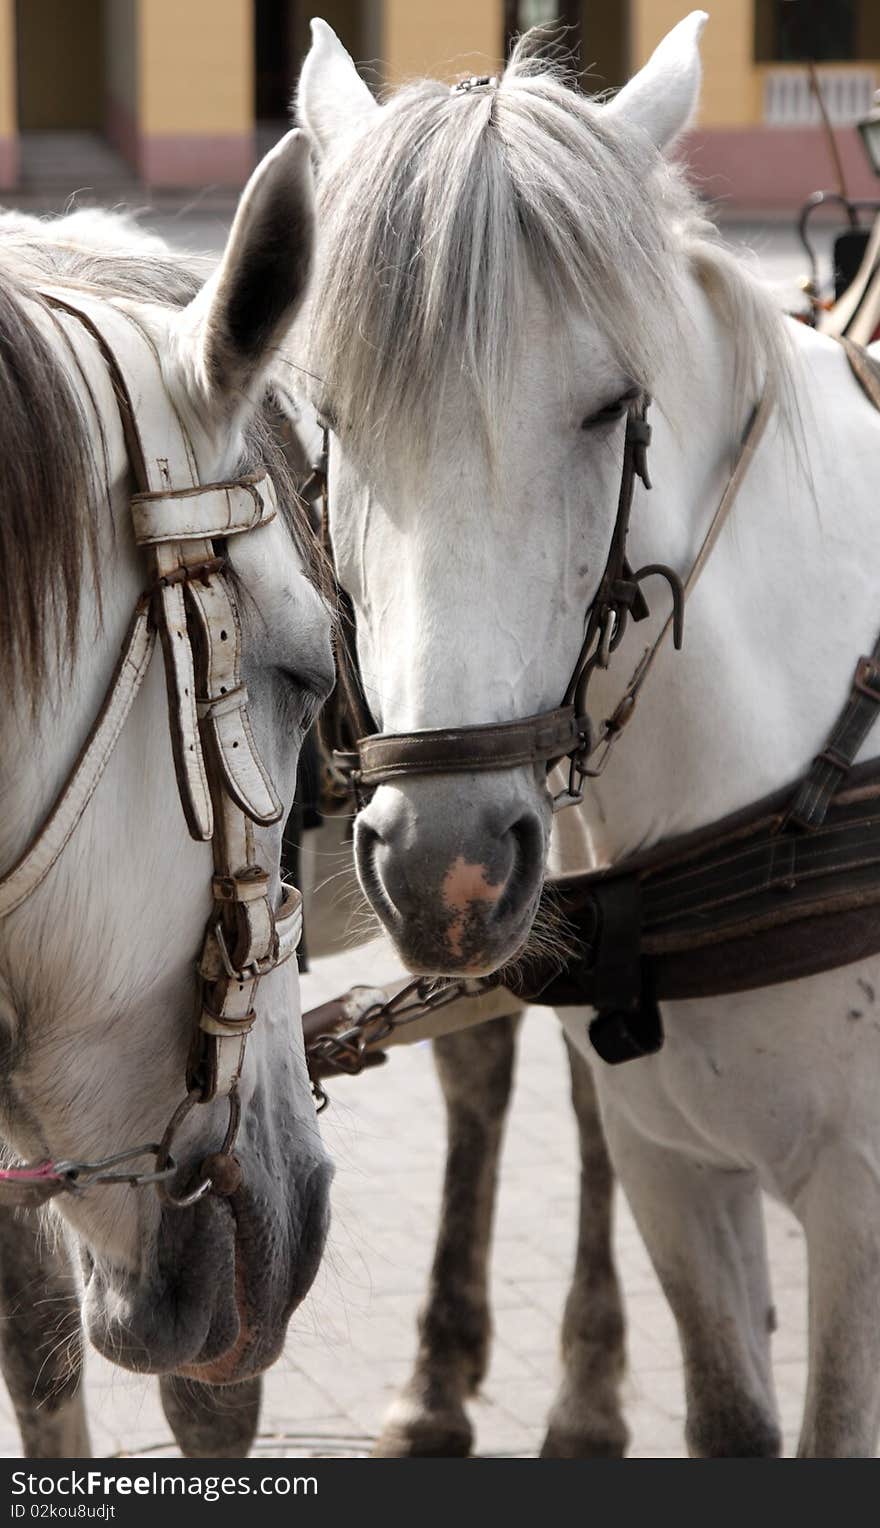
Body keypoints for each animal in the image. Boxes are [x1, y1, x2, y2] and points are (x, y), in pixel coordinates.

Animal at [299, 17, 880, 1454]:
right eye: (330, 419)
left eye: (612, 406)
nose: (446, 863)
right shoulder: (677, 1174)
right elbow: (731, 1420)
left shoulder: (858, 1203)